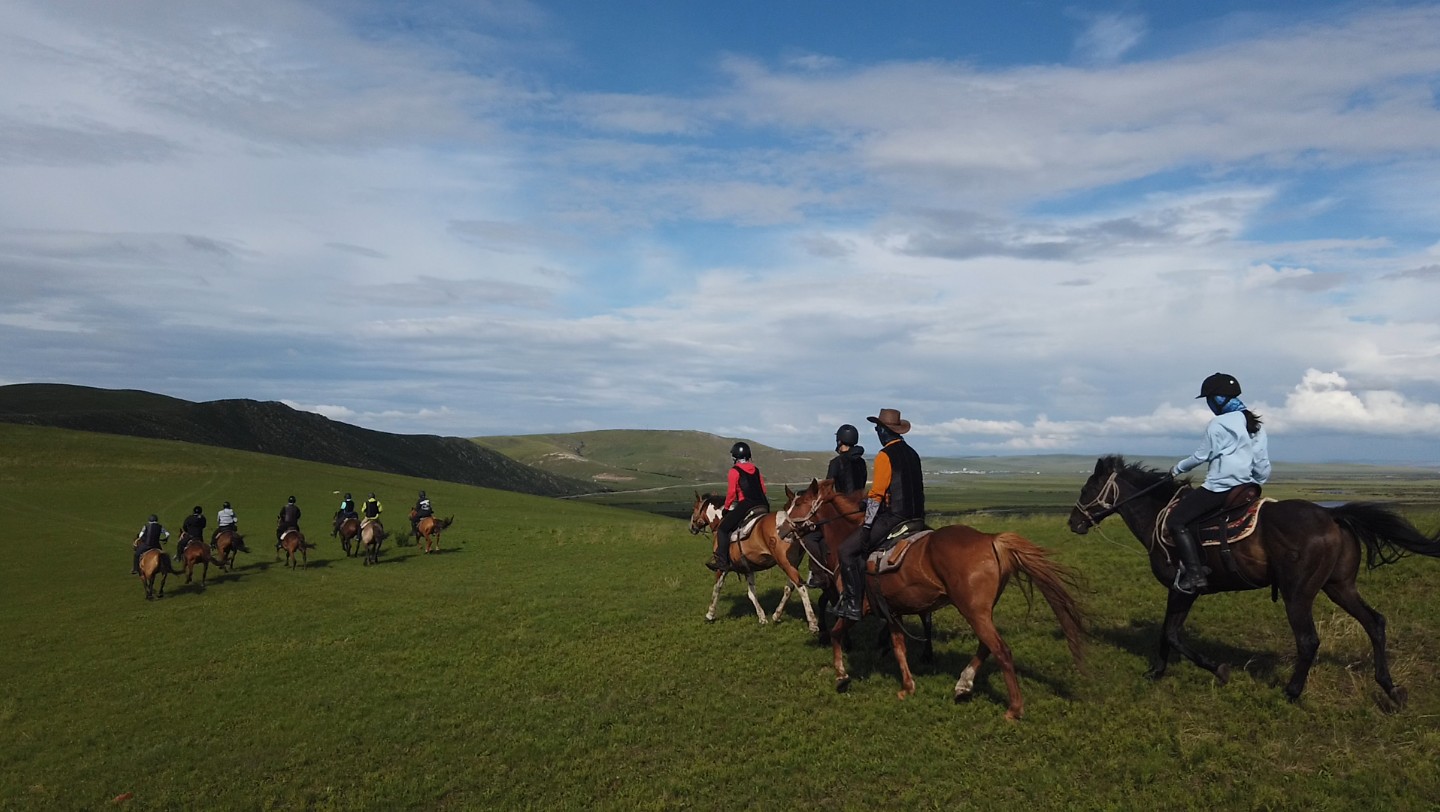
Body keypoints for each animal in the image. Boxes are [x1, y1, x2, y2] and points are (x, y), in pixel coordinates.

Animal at [688, 489, 823, 633]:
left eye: (694, 508)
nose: (691, 527)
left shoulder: (722, 566)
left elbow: (717, 588)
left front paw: (710, 614)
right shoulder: (748, 568)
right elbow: (752, 593)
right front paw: (762, 617)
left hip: (785, 563)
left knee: (801, 587)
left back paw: (812, 623)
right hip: (793, 563)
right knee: (789, 587)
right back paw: (776, 615)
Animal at [789, 477, 1082, 719]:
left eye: (799, 503)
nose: (783, 529)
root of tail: (991, 539)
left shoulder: (859, 605)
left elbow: (838, 633)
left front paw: (841, 676)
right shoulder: (891, 611)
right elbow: (899, 647)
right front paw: (907, 686)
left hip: (972, 610)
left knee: (1000, 650)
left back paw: (1013, 708)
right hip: (980, 611)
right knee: (986, 646)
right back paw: (963, 685)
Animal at [1071, 454, 1440, 708]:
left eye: (1087, 488)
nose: (1073, 523)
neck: (1160, 518)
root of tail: (1332, 514)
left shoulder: (1184, 589)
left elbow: (1173, 634)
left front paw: (1218, 669)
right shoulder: (1177, 591)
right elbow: (1166, 632)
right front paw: (1157, 672)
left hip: (1298, 594)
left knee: (1309, 641)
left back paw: (1291, 693)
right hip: (1340, 587)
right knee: (1374, 623)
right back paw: (1391, 688)